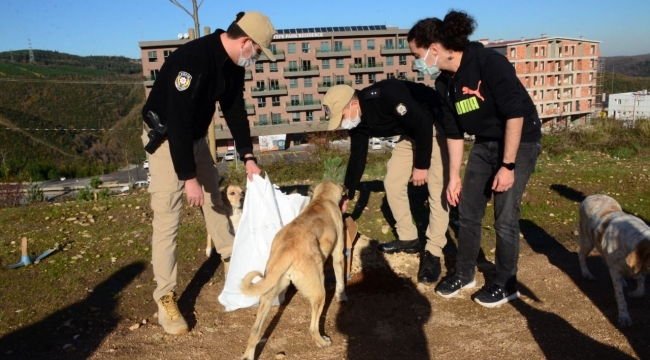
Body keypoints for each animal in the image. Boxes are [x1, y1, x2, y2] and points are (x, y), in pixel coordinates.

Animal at [239, 183, 350, 360]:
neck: (322, 198)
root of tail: (287, 247)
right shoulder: (338, 253)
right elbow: (340, 281)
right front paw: (342, 296)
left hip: (270, 291)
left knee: (255, 330)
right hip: (319, 293)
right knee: (313, 328)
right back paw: (323, 342)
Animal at [576, 194, 648, 326]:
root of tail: (593, 195)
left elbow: (641, 287)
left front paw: (635, 293)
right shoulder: (616, 271)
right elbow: (621, 297)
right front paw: (624, 316)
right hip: (588, 242)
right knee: (581, 256)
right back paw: (586, 273)